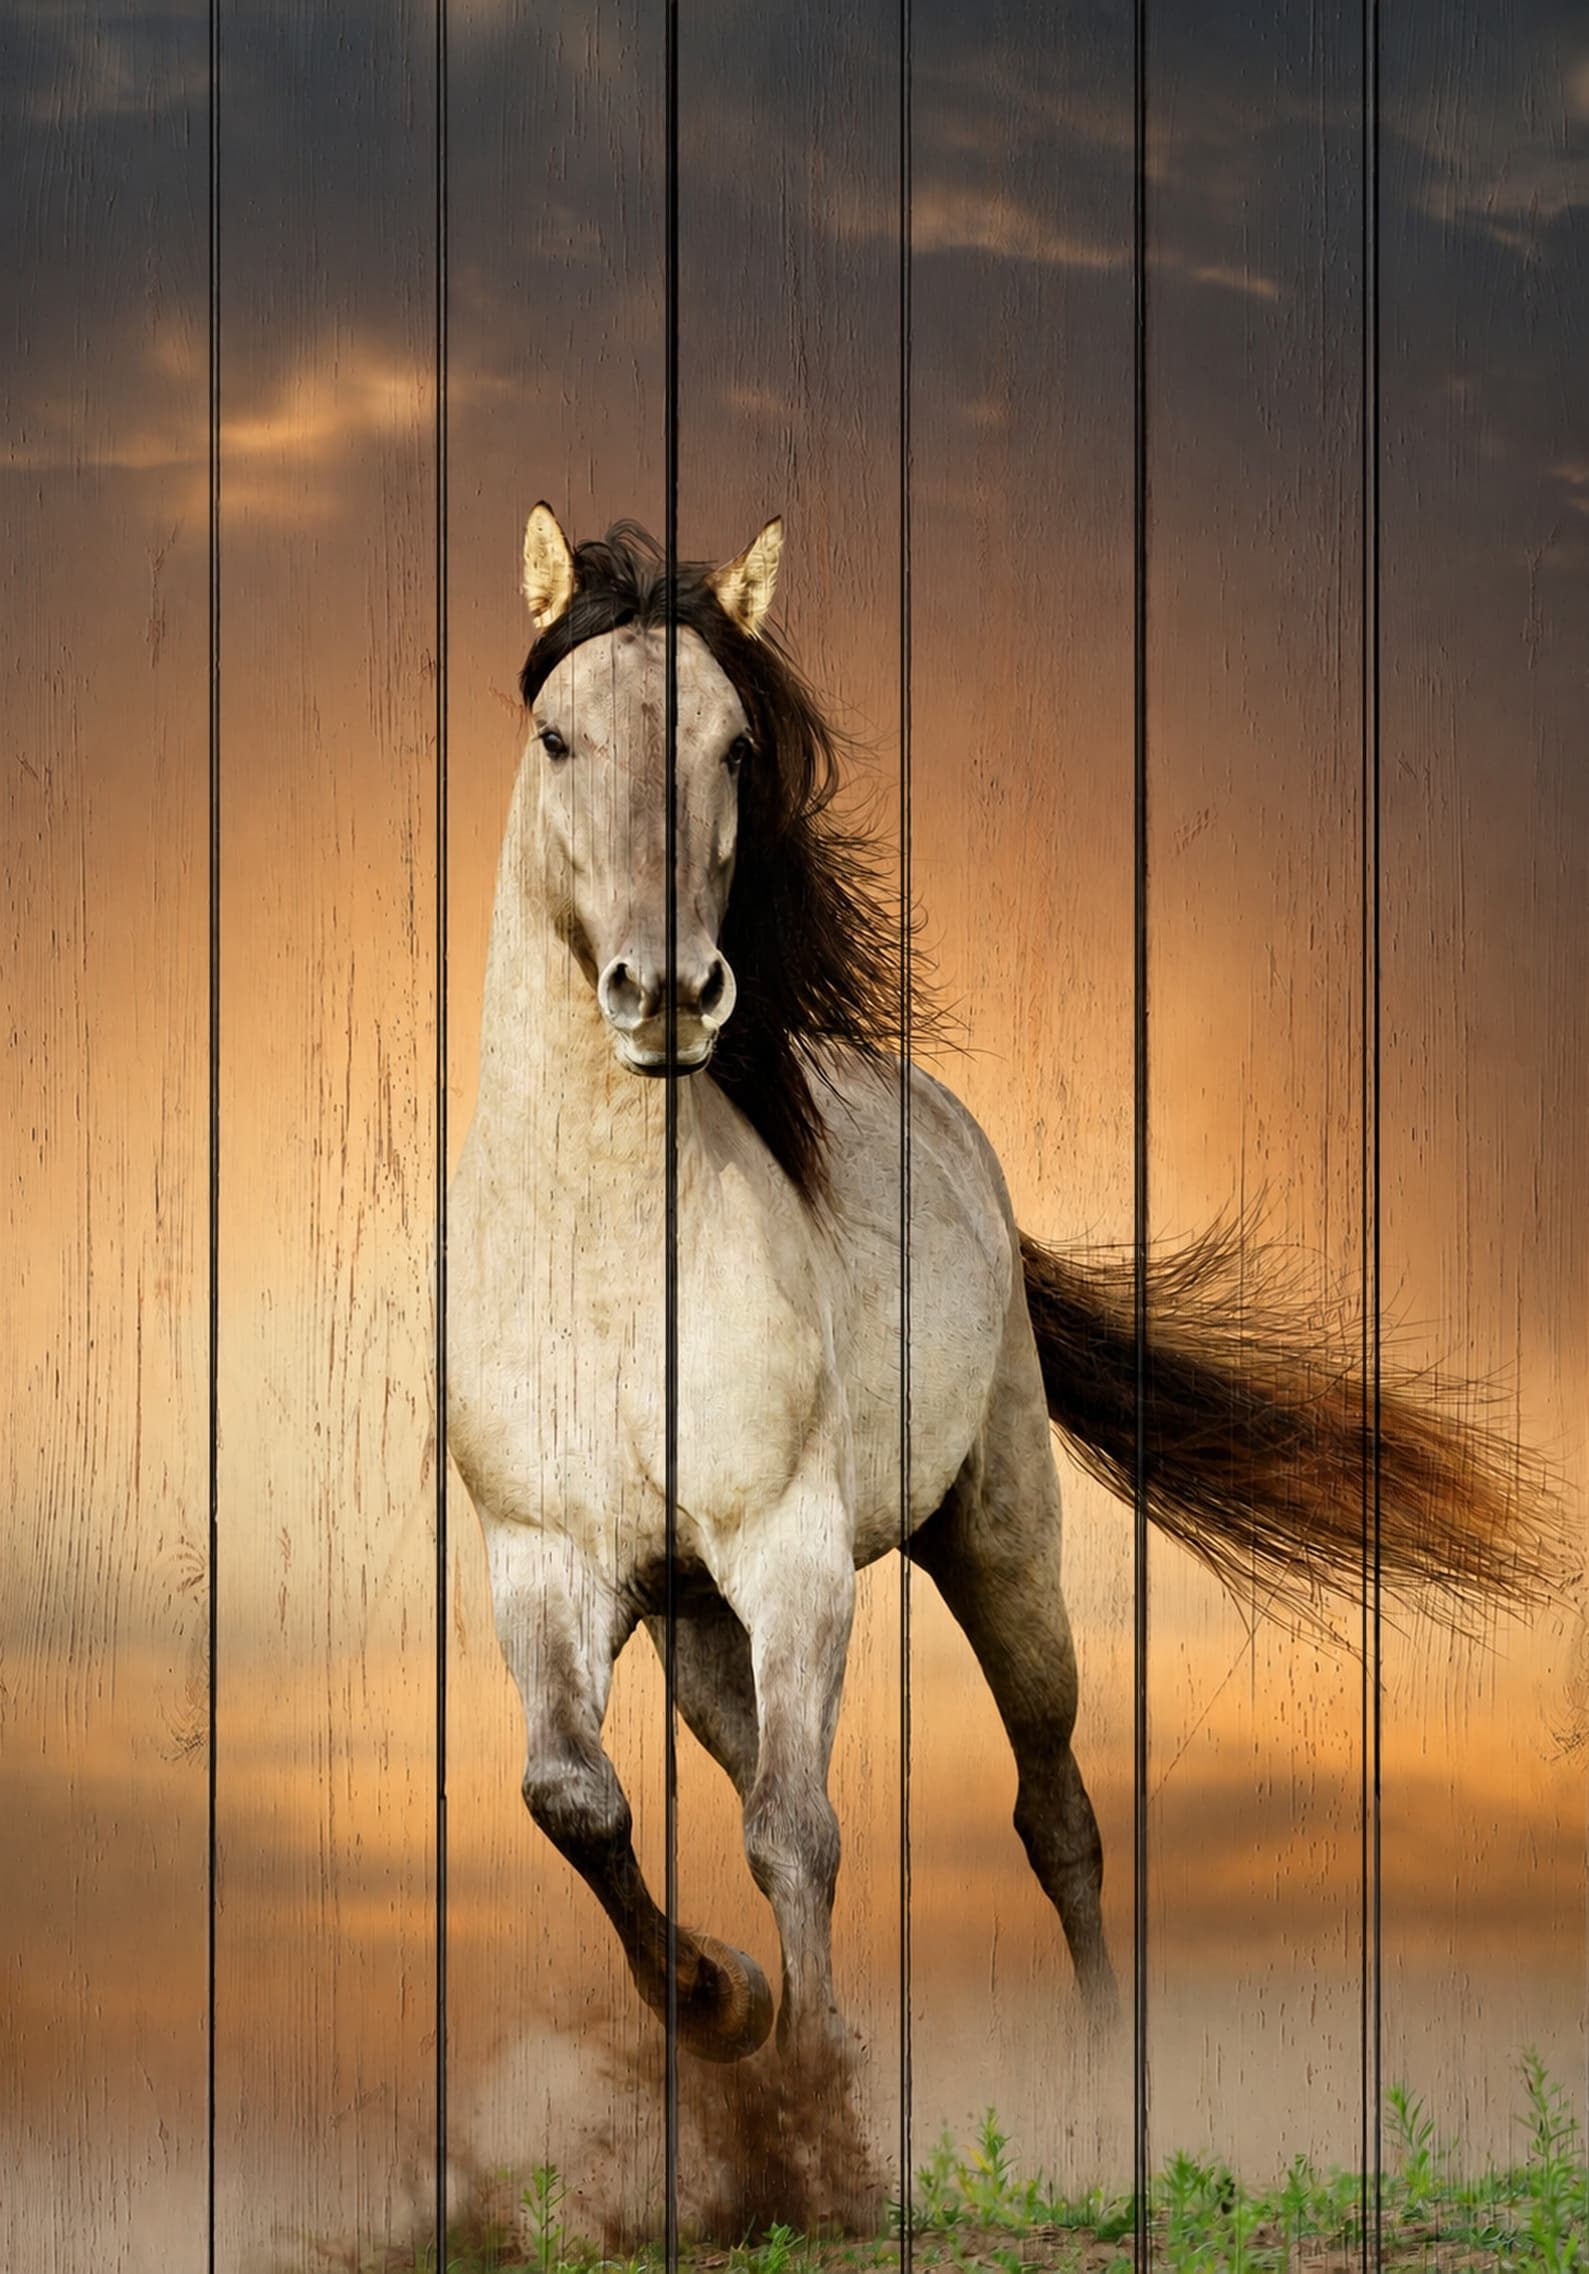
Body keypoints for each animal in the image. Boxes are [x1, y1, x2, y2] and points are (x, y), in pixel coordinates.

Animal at [445, 504, 1562, 2073]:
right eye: (556, 736)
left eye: (736, 746)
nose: (666, 994)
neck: (608, 1269)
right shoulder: (546, 1561)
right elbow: (577, 1798)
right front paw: (724, 2005)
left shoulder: (795, 1557)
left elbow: (799, 1831)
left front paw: (811, 2077)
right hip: (697, 1618)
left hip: (997, 1540)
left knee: (1054, 1812)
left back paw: (1092, 2066)